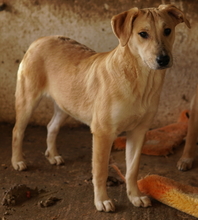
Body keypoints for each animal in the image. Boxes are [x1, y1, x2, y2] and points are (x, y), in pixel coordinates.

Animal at [12, 4, 190, 212]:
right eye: (143, 34)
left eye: (167, 30)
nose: (163, 59)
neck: (141, 81)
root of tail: (41, 39)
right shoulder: (102, 133)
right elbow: (100, 171)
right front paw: (102, 201)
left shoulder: (139, 132)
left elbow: (132, 170)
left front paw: (135, 196)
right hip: (27, 100)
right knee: (17, 131)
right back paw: (18, 161)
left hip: (66, 104)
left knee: (52, 127)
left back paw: (53, 156)